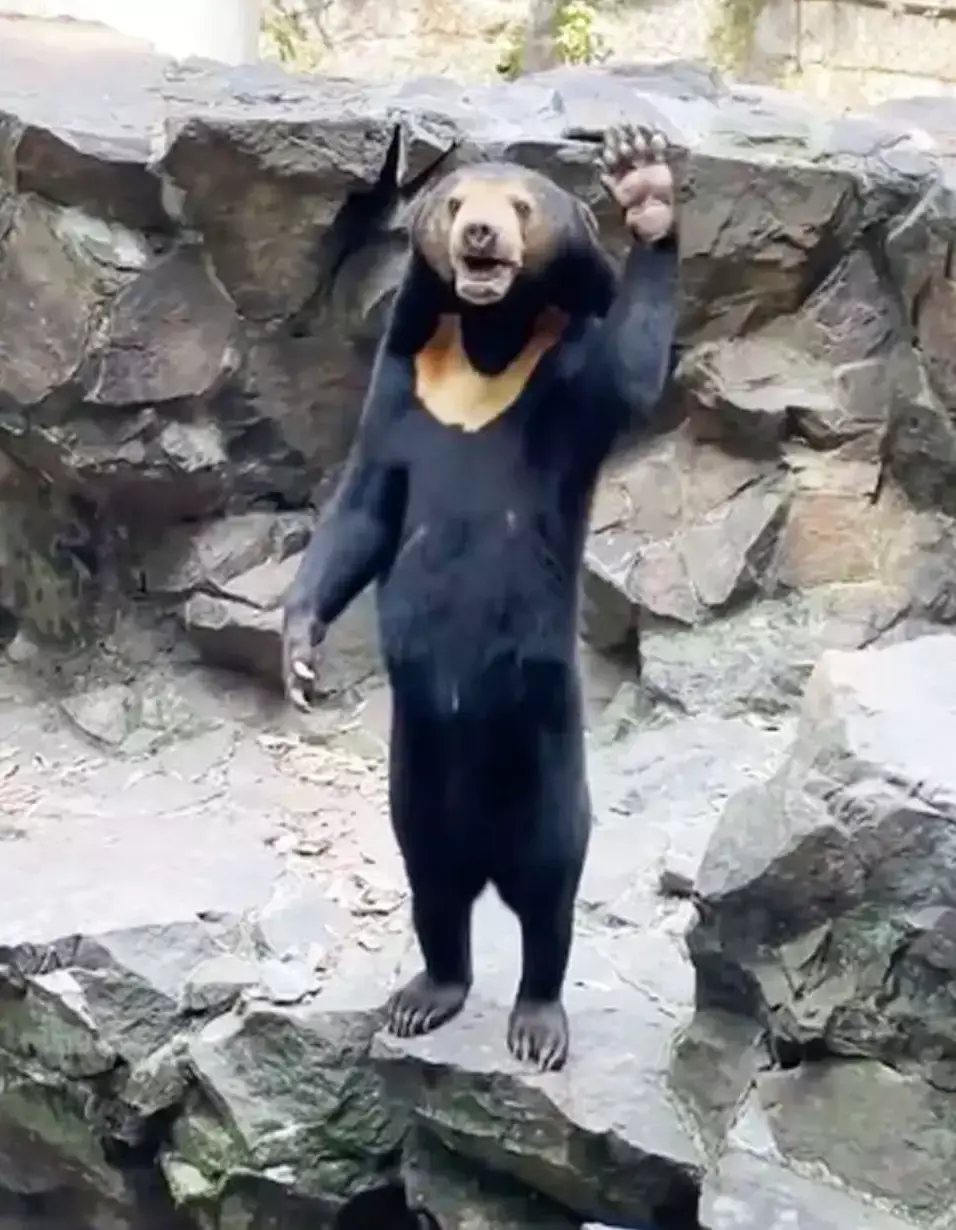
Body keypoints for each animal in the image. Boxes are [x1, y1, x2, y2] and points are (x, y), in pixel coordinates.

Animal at [282, 124, 681, 1072]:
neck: (488, 345)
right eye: (458, 202)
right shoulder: (404, 384)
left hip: (543, 744)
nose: (480, 238)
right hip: (416, 771)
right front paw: (299, 657)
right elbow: (364, 507)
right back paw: (426, 995)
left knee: (549, 882)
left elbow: (633, 376)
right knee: (432, 879)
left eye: (523, 206)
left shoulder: (569, 379)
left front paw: (645, 184)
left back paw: (537, 1022)